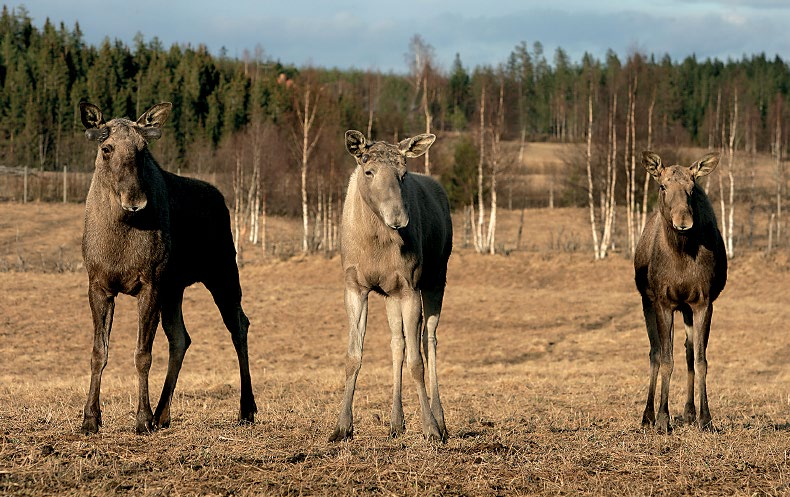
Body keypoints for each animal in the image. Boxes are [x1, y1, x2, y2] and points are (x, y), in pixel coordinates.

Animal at [78, 101, 256, 434]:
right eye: (106, 148)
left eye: (143, 149)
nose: (135, 200)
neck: (119, 235)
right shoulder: (99, 284)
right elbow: (98, 352)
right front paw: (90, 418)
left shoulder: (151, 283)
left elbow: (143, 354)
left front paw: (142, 418)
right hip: (175, 287)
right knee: (181, 337)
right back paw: (163, 413)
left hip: (223, 271)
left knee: (239, 325)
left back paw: (247, 408)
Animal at [636, 149, 732, 432]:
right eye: (662, 185)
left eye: (692, 187)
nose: (683, 223)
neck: (681, 255)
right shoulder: (663, 301)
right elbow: (666, 359)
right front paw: (662, 419)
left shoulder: (703, 302)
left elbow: (701, 360)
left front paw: (705, 418)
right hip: (647, 301)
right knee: (655, 352)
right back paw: (647, 415)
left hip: (687, 309)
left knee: (688, 352)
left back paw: (689, 412)